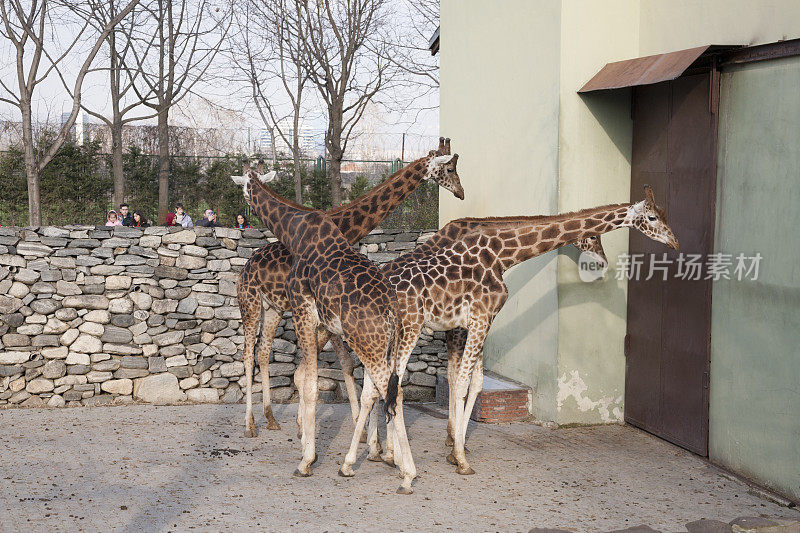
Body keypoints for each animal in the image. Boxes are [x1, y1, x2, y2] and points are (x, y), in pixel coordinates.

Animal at [231, 138, 462, 436]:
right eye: (449, 168)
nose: (460, 192)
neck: (346, 227)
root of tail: (246, 267)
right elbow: (335, 364)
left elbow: (342, 365)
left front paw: (342, 427)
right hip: (249, 303)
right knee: (248, 354)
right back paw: (250, 424)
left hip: (272, 308)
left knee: (262, 352)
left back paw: (270, 418)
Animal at [244, 172, 418, 492]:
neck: (295, 232)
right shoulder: (323, 323)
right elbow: (317, 376)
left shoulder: (305, 313)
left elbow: (311, 383)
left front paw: (306, 458)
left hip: (364, 341)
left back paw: (406, 474)